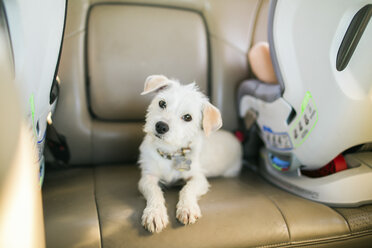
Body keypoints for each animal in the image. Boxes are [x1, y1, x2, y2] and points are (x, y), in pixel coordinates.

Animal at [138, 75, 243, 232]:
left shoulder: (199, 179)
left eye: (188, 117)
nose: (161, 126)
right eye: (162, 103)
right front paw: (155, 213)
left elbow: (187, 189)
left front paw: (187, 208)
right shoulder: (147, 178)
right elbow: (154, 191)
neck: (170, 153)